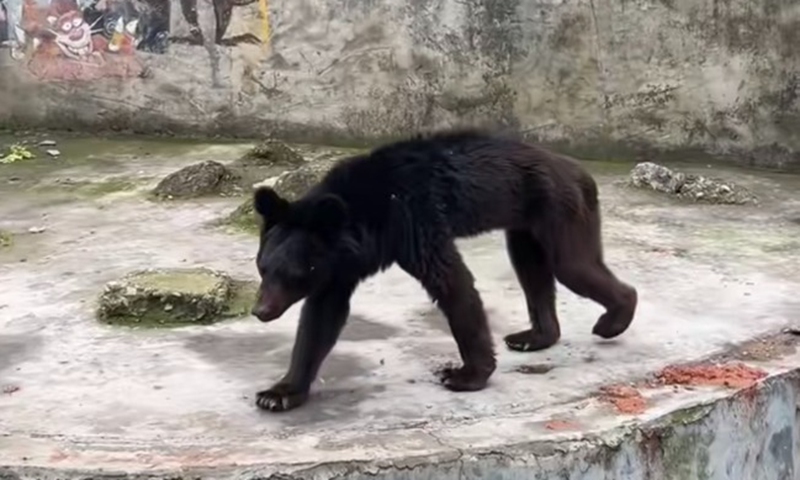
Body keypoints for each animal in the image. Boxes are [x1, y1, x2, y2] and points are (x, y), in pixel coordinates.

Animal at [250, 128, 638, 412]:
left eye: (293, 272)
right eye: (262, 267)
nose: (260, 310)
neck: (367, 214)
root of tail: (580, 170)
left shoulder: (412, 221)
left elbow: (452, 283)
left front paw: (465, 375)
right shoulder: (339, 265)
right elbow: (322, 316)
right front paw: (277, 393)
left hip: (559, 207)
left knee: (573, 265)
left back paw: (614, 318)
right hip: (526, 223)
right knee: (532, 269)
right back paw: (534, 336)